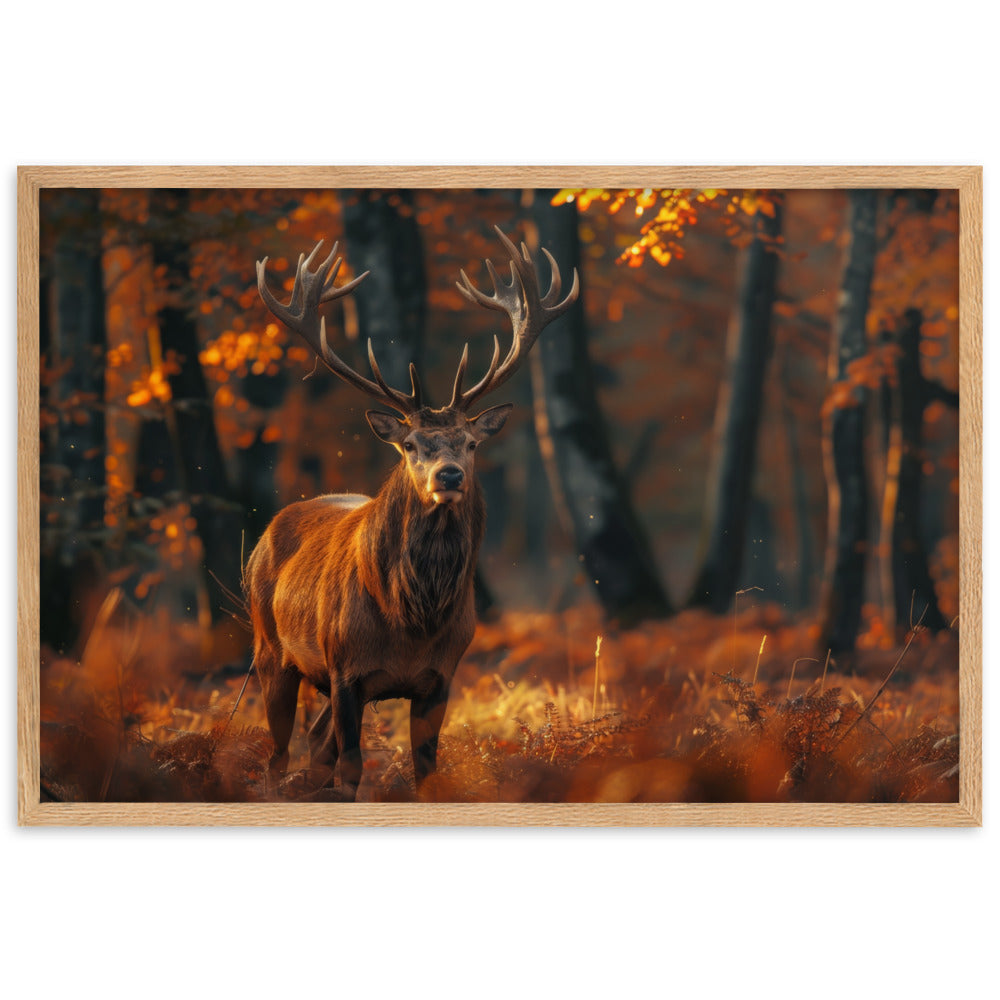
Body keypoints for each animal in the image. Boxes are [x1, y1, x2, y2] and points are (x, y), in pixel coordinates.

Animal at [246, 227, 578, 799]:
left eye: (470, 443)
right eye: (411, 445)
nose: (450, 476)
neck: (411, 622)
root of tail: (266, 533)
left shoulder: (441, 678)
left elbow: (426, 770)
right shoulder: (345, 671)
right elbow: (352, 769)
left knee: (314, 744)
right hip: (270, 647)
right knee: (279, 752)